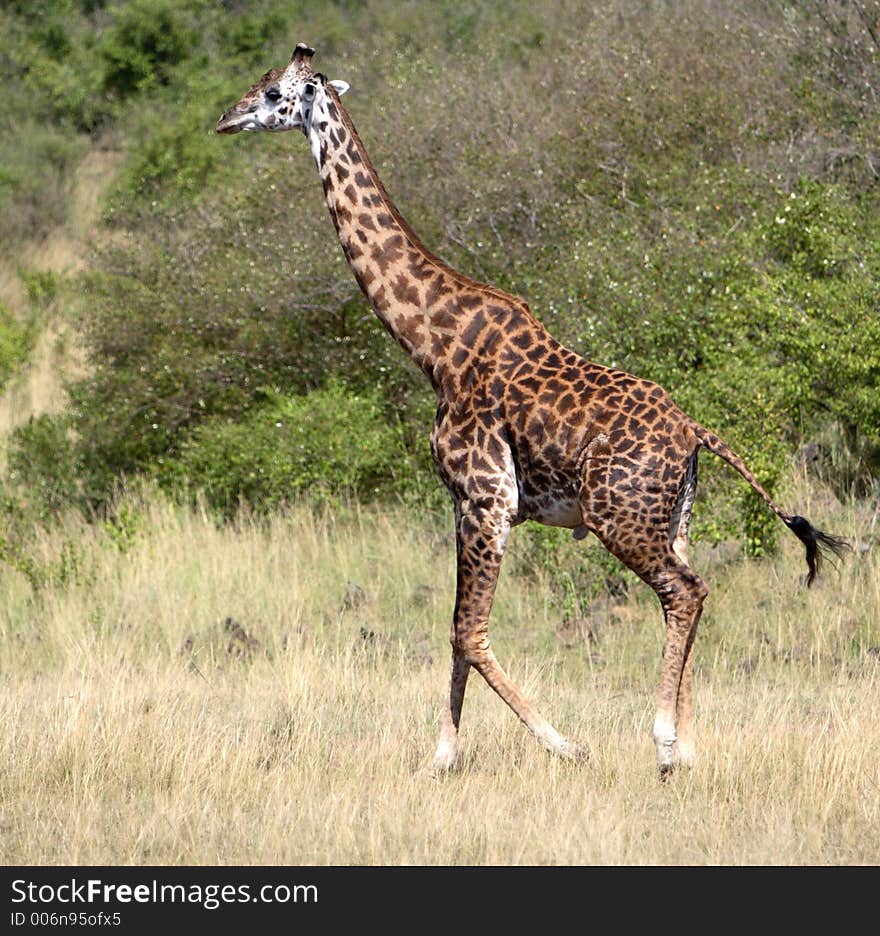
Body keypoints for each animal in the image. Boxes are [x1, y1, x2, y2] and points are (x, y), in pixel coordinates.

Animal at [217, 42, 848, 776]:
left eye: (272, 94)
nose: (226, 119)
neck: (432, 345)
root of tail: (696, 432)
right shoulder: (469, 501)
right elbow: (458, 631)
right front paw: (445, 756)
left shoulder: (486, 497)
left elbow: (466, 630)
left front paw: (559, 744)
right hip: (675, 517)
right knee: (687, 596)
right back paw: (687, 749)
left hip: (617, 516)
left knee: (684, 592)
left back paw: (663, 741)